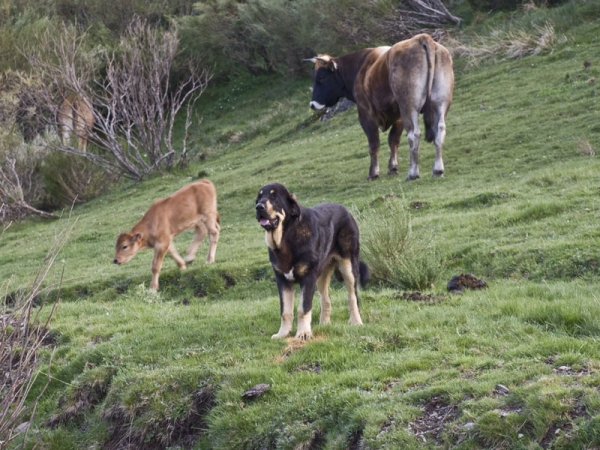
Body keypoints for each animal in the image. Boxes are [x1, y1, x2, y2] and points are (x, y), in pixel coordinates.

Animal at [253, 181, 366, 340]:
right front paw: (283, 333)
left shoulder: (307, 277)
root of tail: (345, 209)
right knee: (326, 299)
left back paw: (356, 322)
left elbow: (303, 309)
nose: (259, 207)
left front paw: (303, 333)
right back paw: (324, 324)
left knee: (352, 297)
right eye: (260, 197)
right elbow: (285, 311)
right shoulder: (283, 280)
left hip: (348, 266)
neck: (286, 236)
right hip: (321, 275)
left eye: (274, 197)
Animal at [308, 33, 452, 181]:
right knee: (439, 131)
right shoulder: (398, 116)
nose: (312, 104)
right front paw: (393, 167)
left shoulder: (366, 114)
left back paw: (412, 173)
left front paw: (373, 173)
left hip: (409, 106)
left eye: (321, 77)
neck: (360, 68)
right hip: (440, 103)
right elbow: (393, 140)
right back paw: (438, 170)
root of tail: (422, 37)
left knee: (414, 134)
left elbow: (374, 143)